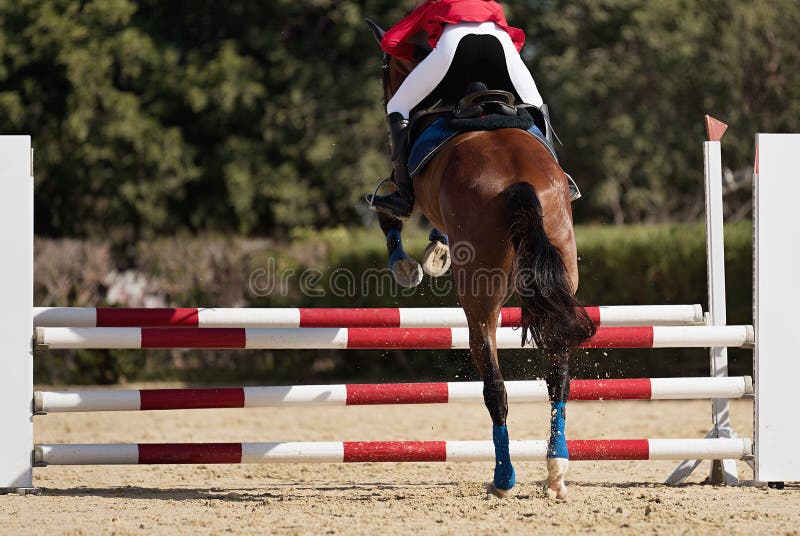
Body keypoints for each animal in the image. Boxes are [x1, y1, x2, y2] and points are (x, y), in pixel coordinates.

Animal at [366, 21, 596, 498]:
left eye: (384, 71)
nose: (383, 95)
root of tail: (518, 182)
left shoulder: (413, 195)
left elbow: (390, 213)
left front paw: (412, 264)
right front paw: (433, 254)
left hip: (480, 298)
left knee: (494, 382)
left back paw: (503, 476)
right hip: (561, 267)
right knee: (558, 376)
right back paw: (556, 468)